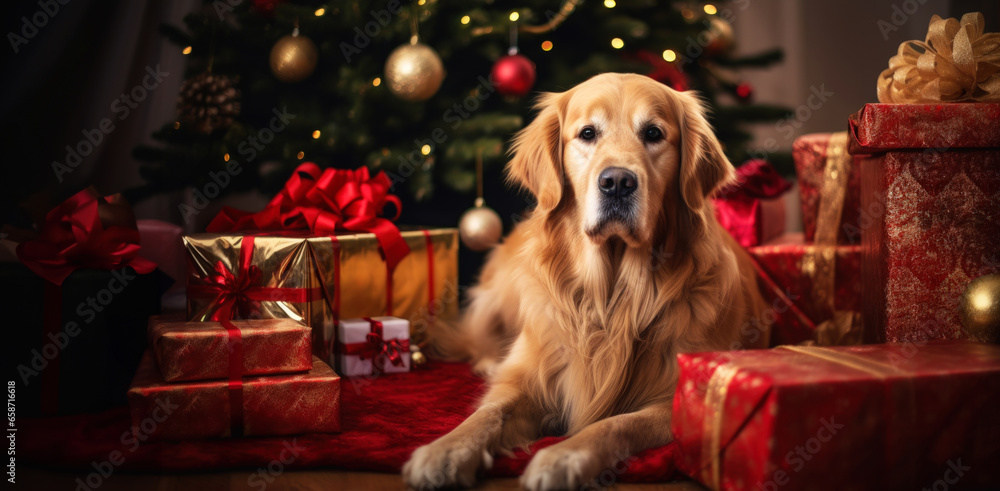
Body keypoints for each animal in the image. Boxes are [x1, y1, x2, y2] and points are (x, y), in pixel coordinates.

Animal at [402, 71, 768, 490]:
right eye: (588, 133)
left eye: (654, 133)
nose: (618, 182)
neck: (611, 296)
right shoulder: (532, 375)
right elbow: (488, 413)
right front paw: (445, 449)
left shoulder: (673, 396)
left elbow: (613, 424)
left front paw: (562, 456)